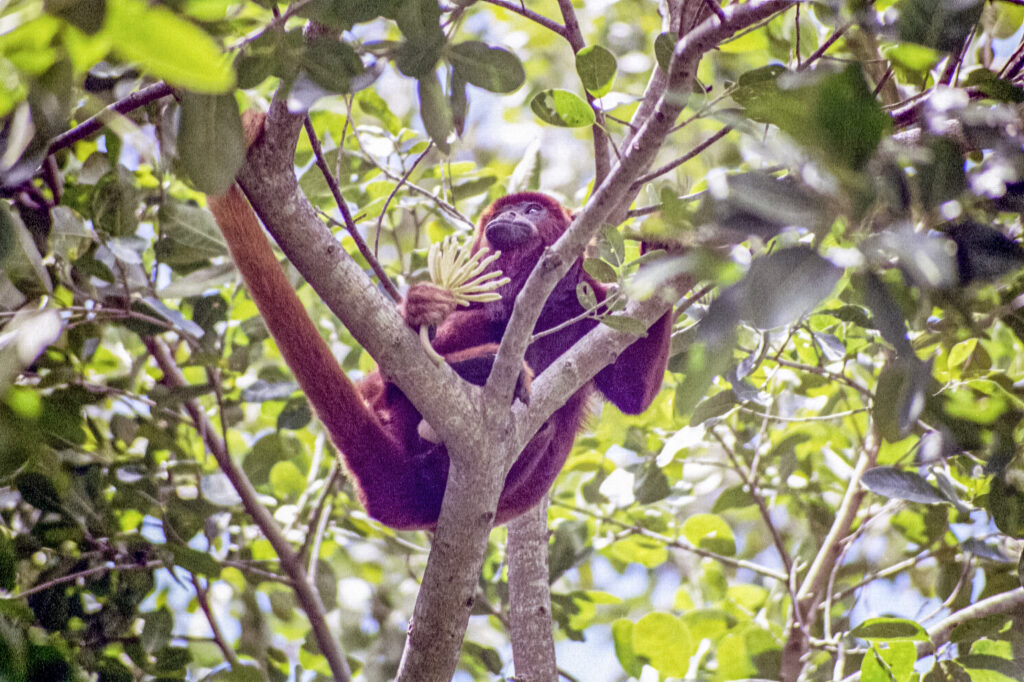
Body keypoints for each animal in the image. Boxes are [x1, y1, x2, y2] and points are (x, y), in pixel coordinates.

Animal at [208, 185, 673, 530]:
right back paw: (473, 365)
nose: (512, 216)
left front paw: (664, 243)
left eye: (533, 209)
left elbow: (635, 393)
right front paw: (421, 310)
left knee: (545, 428)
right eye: (509, 210)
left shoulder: (589, 299)